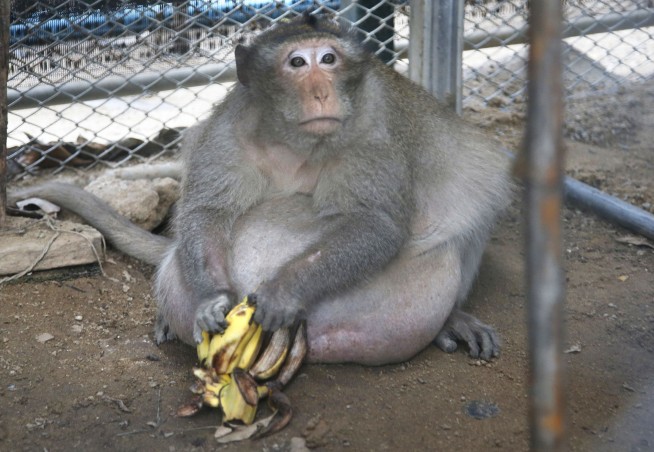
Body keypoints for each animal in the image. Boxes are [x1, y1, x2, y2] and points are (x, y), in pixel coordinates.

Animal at [9, 14, 513, 365]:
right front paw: (212, 300)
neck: (295, 140)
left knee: (477, 184)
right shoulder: (228, 132)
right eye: (297, 62)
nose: (321, 93)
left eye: (329, 59)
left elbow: (377, 224)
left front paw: (283, 292)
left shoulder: (373, 133)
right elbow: (207, 212)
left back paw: (452, 318)